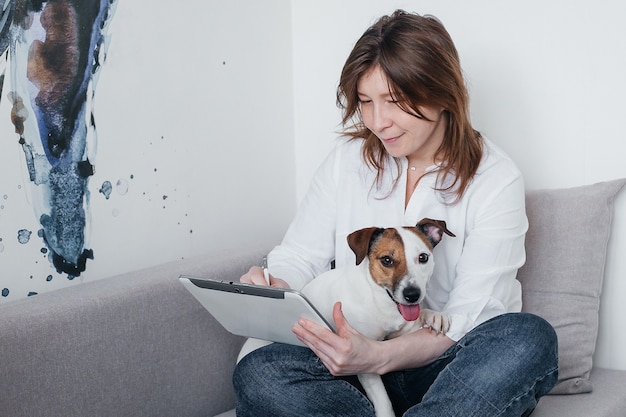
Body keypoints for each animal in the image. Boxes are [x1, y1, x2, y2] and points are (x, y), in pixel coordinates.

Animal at [298, 218, 450, 416]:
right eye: (387, 260)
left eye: (423, 257)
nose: (412, 295)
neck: (381, 302)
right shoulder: (364, 360)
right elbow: (383, 400)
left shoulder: (400, 335)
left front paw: (434, 315)